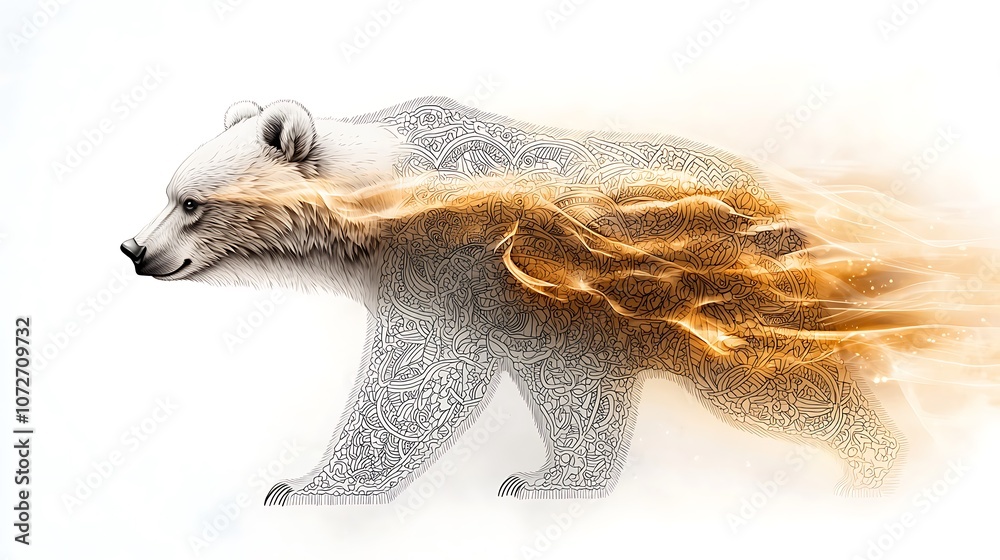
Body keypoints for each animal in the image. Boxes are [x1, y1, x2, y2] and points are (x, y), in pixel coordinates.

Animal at [121, 97, 900, 505]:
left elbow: (416, 381)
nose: (135, 249)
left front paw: (307, 484)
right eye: (169, 191)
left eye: (191, 202)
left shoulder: (461, 263)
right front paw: (551, 476)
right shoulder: (538, 310)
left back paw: (873, 461)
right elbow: (571, 389)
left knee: (779, 385)